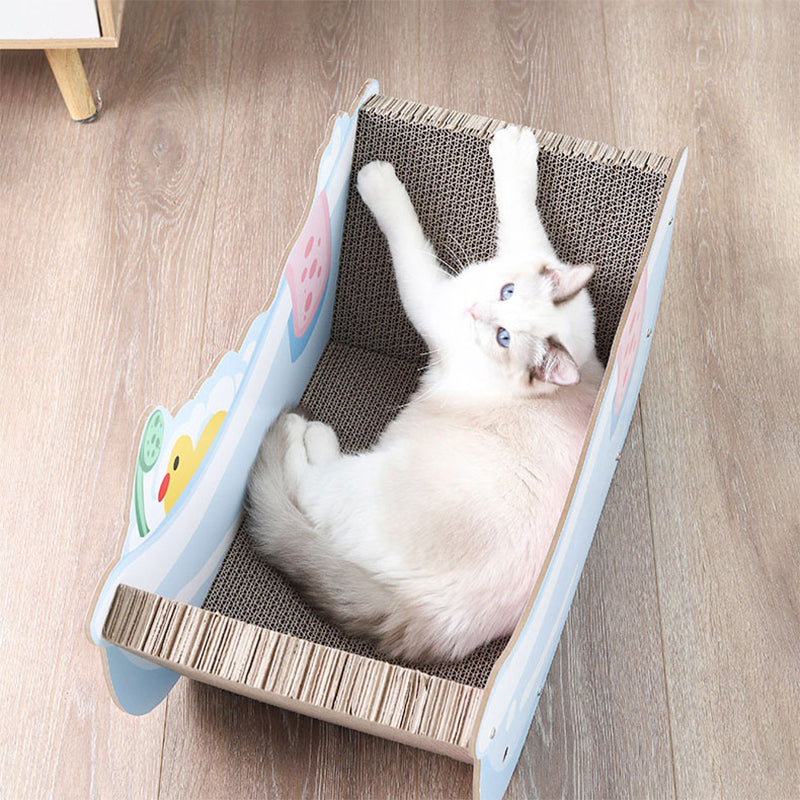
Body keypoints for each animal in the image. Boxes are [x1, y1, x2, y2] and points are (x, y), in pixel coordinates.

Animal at [247, 123, 604, 664]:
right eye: (507, 293)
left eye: (504, 337)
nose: (475, 310)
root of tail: (427, 621)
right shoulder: (529, 258)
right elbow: (522, 218)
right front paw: (515, 150)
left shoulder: (430, 300)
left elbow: (408, 239)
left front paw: (376, 179)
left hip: (362, 482)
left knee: (306, 486)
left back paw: (304, 430)